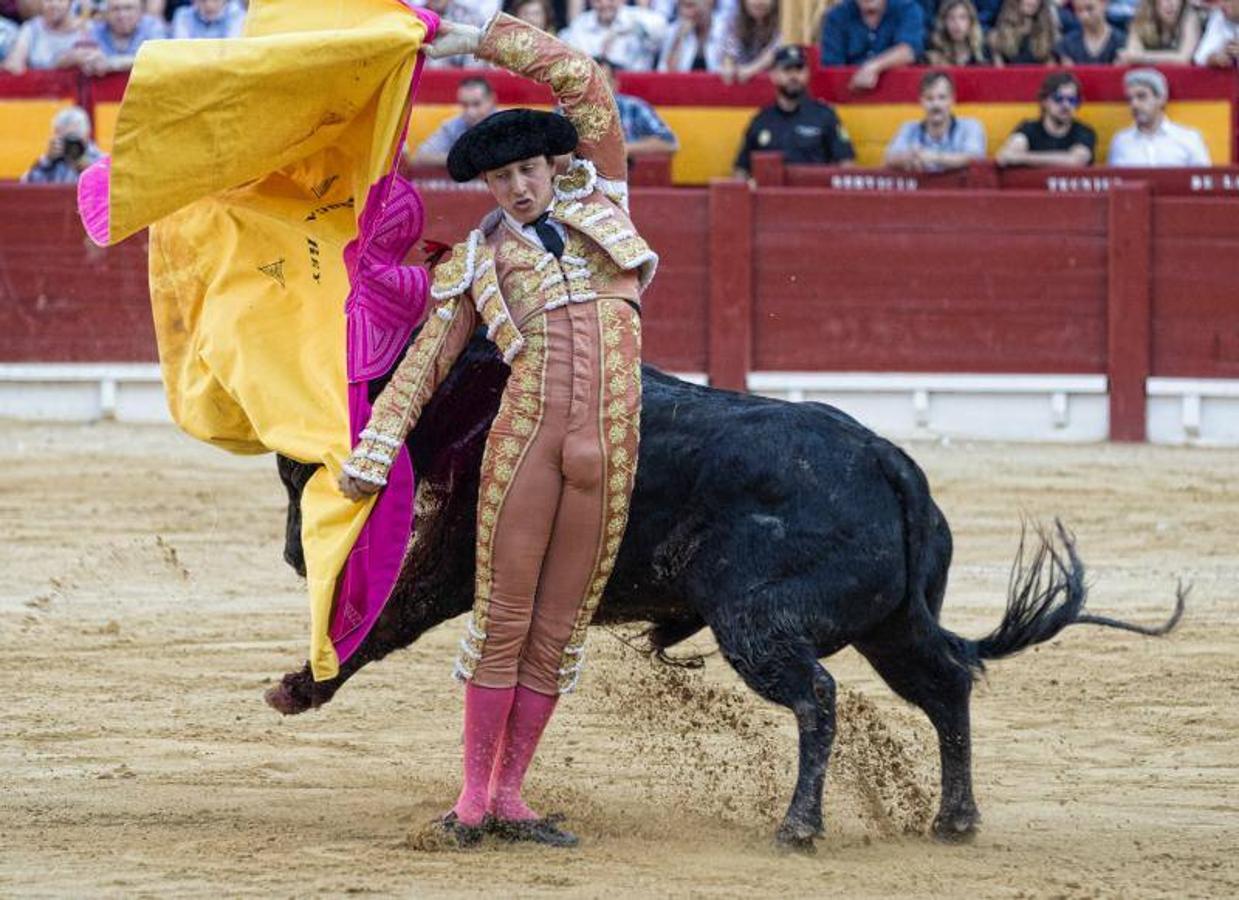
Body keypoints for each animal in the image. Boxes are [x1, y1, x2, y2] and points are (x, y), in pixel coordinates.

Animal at [268, 337, 1179, 852]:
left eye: (295, 471)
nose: (292, 555)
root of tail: (887, 461)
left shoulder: (460, 558)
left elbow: (389, 617)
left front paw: (299, 686)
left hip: (757, 625)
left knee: (818, 696)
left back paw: (799, 826)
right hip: (890, 625)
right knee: (946, 681)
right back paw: (952, 819)